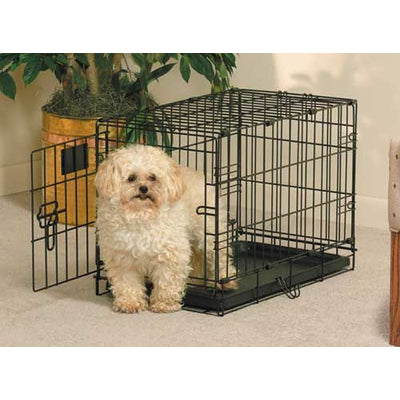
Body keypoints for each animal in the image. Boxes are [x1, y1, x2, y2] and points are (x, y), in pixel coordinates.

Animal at [95, 144, 238, 313]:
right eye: (131, 178)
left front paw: (164, 304)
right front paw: (130, 303)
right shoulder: (122, 258)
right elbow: (127, 284)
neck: (141, 215)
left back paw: (225, 281)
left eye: (152, 177)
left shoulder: (170, 253)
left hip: (209, 235)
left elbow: (167, 281)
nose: (143, 188)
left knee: (220, 257)